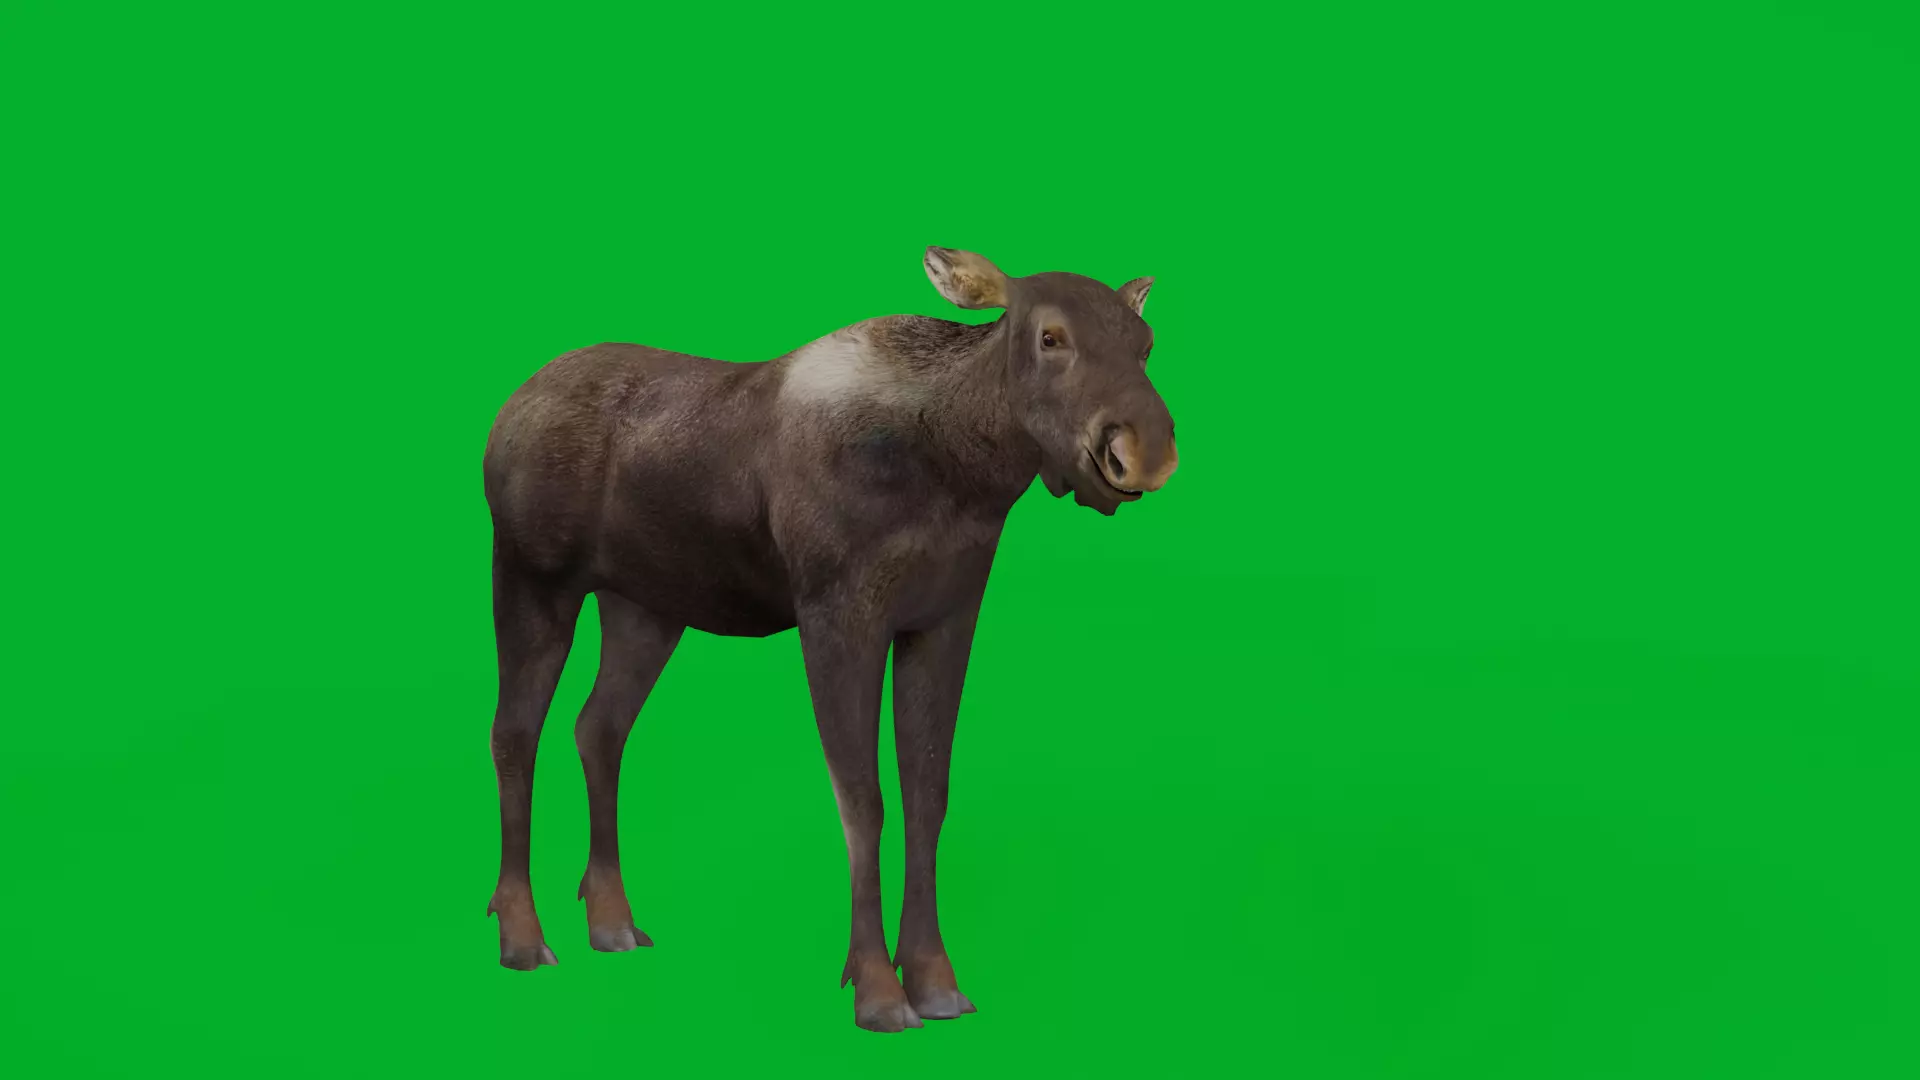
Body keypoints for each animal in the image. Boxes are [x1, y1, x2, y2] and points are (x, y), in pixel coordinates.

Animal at [481, 246, 1180, 1031]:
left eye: (1146, 345)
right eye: (1050, 336)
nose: (1142, 451)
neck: (964, 475)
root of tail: (505, 414)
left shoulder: (944, 619)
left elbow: (927, 796)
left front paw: (936, 981)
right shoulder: (838, 617)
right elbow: (863, 801)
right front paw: (877, 990)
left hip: (645, 609)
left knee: (597, 727)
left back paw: (612, 921)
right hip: (532, 578)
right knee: (514, 733)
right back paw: (523, 936)